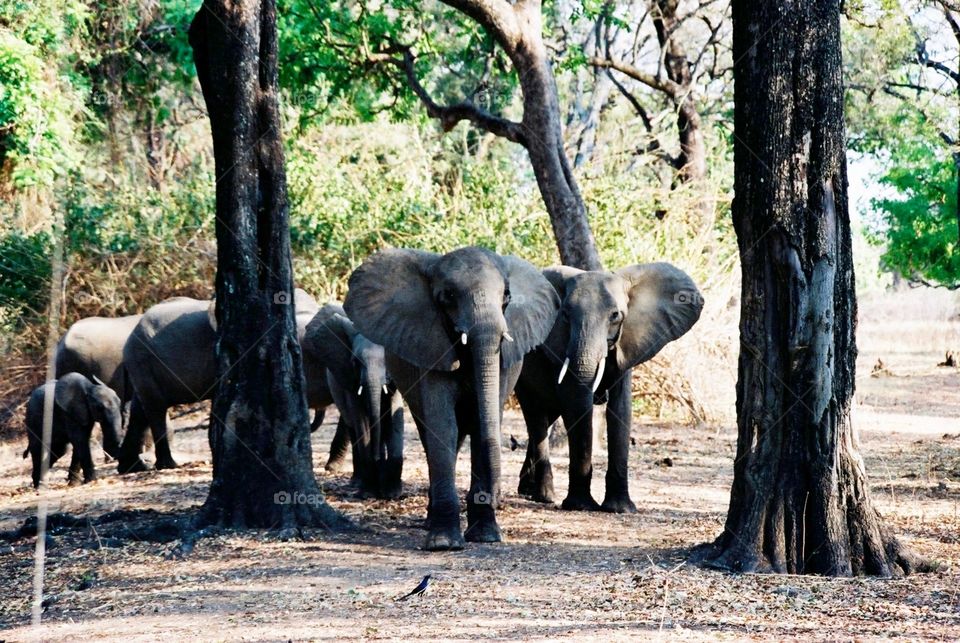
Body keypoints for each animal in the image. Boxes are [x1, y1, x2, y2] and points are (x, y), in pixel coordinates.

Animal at [302, 304, 404, 500]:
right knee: (352, 424)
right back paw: (357, 482)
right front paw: (368, 493)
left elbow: (394, 415)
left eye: (388, 360)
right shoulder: (349, 377)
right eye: (356, 362)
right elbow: (361, 419)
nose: (377, 458)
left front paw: (392, 494)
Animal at [344, 244, 560, 552]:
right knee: (432, 432)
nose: (496, 500)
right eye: (448, 296)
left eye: (507, 296)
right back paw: (430, 521)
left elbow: (484, 423)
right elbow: (443, 425)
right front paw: (444, 543)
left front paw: (485, 536)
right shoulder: (431, 344)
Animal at [512, 262, 700, 512]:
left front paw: (620, 508)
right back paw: (544, 496)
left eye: (615, 315)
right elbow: (575, 402)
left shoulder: (628, 344)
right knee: (536, 418)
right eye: (565, 315)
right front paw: (581, 505)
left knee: (547, 416)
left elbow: (621, 409)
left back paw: (527, 490)